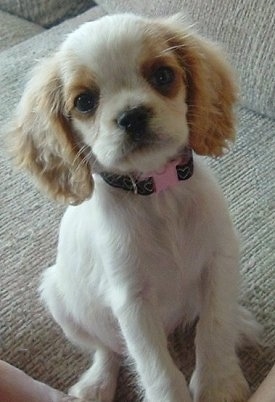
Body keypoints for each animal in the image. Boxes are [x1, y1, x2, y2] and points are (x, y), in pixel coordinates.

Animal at [8, 12, 258, 402]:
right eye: (84, 101)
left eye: (163, 76)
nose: (132, 116)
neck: (158, 192)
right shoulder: (132, 301)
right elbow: (156, 368)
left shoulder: (219, 261)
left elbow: (214, 326)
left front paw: (220, 383)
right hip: (60, 301)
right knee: (109, 350)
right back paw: (96, 384)